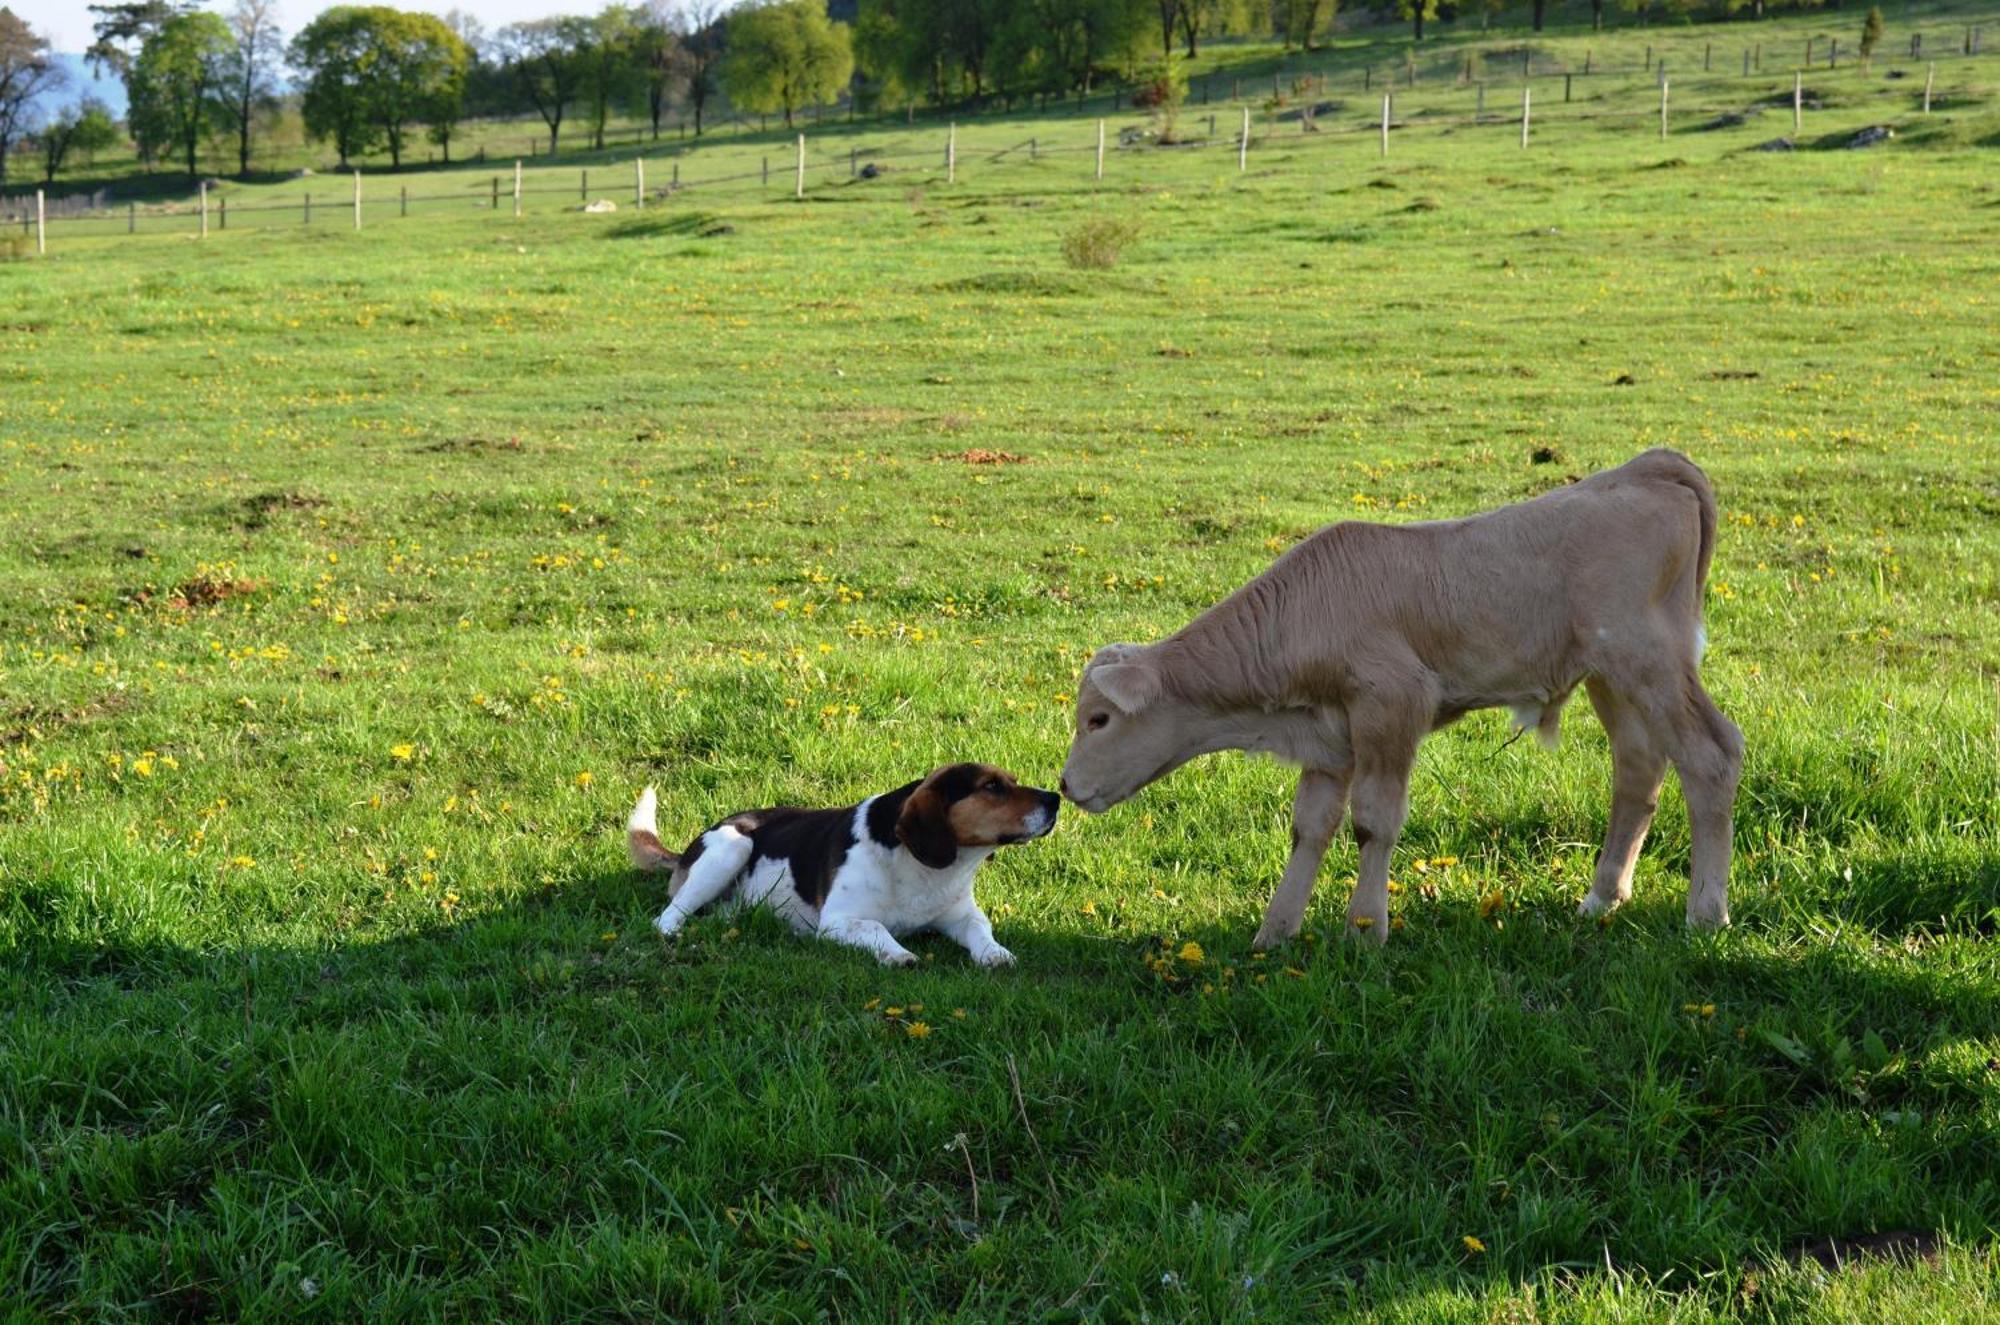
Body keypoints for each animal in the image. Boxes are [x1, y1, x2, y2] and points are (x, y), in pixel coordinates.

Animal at [628, 764, 1064, 972]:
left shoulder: (962, 916)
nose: (1056, 798)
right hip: (733, 846)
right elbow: (876, 928)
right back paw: (676, 934)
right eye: (992, 787)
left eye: (1011, 780)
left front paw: (995, 954)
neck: (932, 871)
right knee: (667, 915)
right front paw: (898, 954)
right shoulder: (838, 922)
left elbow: (980, 932)